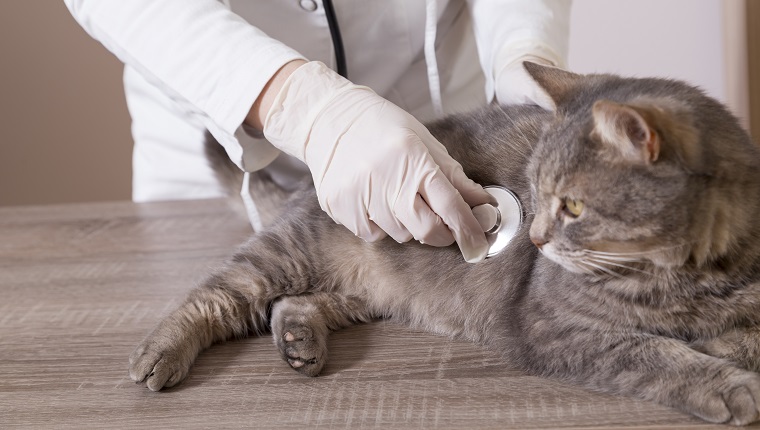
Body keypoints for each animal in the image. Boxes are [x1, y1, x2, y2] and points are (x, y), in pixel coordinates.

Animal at [127, 62, 760, 424]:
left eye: (573, 206)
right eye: (536, 191)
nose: (534, 235)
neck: (690, 278)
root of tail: (313, 178)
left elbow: (738, 337)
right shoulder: (552, 325)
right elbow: (657, 354)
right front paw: (728, 386)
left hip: (365, 291)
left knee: (296, 302)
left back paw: (299, 341)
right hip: (286, 255)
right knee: (214, 295)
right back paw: (157, 354)